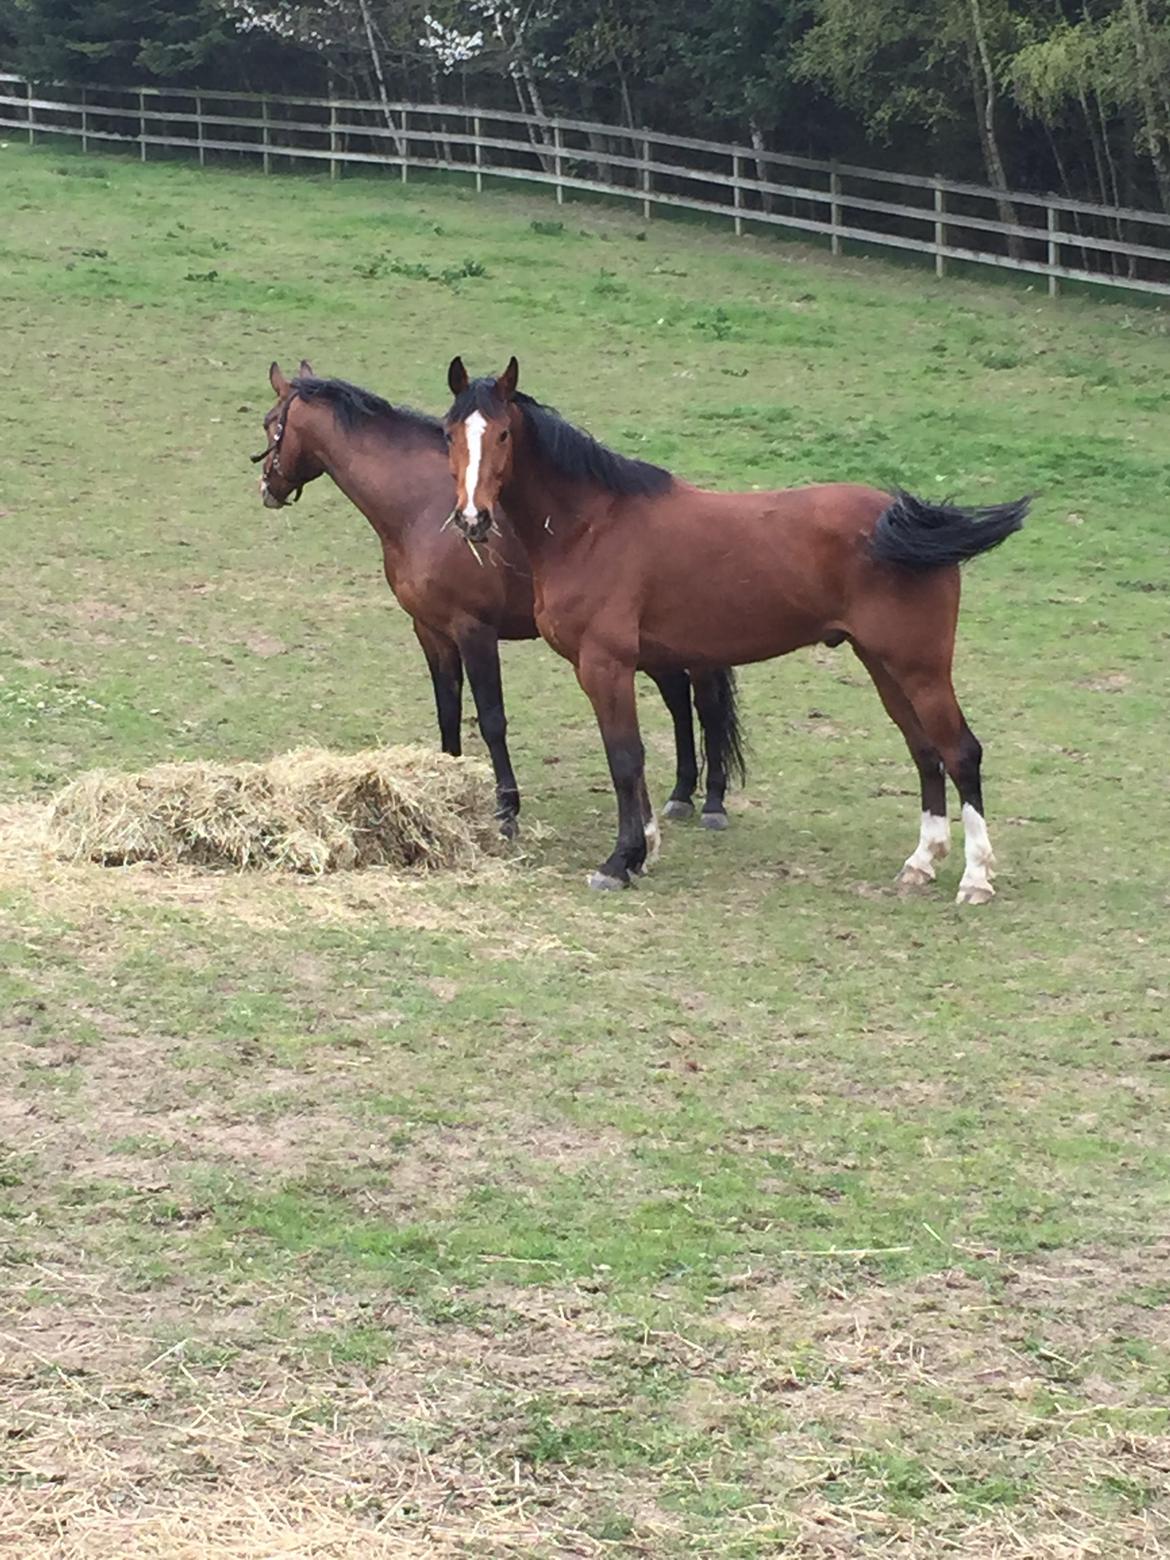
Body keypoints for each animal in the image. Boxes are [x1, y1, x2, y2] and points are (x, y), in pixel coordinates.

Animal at [252, 360, 745, 836]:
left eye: (270, 423)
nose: (267, 489)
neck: (421, 509)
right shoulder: (431, 631)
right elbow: (448, 710)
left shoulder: (474, 630)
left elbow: (492, 718)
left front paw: (507, 809)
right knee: (678, 699)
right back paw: (681, 794)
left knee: (705, 705)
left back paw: (712, 801)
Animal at [443, 358, 1029, 904]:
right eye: (450, 433)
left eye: (502, 434)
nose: (473, 519)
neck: (592, 525)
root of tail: (908, 520)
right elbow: (632, 756)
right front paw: (645, 849)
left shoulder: (605, 664)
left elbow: (625, 757)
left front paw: (620, 861)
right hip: (884, 666)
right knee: (924, 750)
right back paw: (921, 863)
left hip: (920, 668)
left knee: (961, 752)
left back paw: (975, 878)